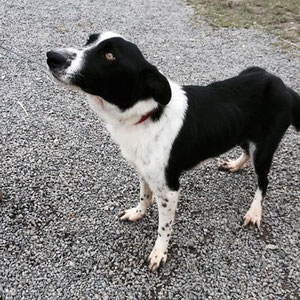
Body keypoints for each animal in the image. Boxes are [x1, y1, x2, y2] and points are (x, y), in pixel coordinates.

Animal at [45, 31, 298, 270]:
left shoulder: (169, 189)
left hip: (264, 149)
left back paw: (254, 212)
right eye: (89, 40)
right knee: (246, 152)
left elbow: (163, 227)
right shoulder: (145, 171)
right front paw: (137, 212)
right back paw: (235, 165)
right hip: (243, 134)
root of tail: (282, 85)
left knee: (263, 181)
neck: (146, 114)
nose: (51, 56)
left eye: (109, 56)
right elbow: (144, 196)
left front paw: (159, 253)